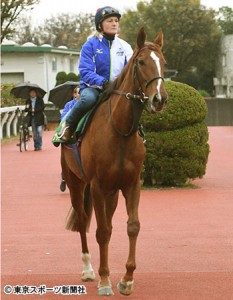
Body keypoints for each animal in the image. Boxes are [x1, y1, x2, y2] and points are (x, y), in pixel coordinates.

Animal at [61, 27, 168, 296]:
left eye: (163, 62)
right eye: (141, 62)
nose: (159, 99)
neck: (120, 131)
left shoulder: (131, 184)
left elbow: (132, 226)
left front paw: (127, 279)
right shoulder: (97, 186)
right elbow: (101, 232)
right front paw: (104, 280)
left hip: (111, 193)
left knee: (107, 223)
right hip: (76, 183)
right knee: (83, 222)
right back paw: (89, 269)